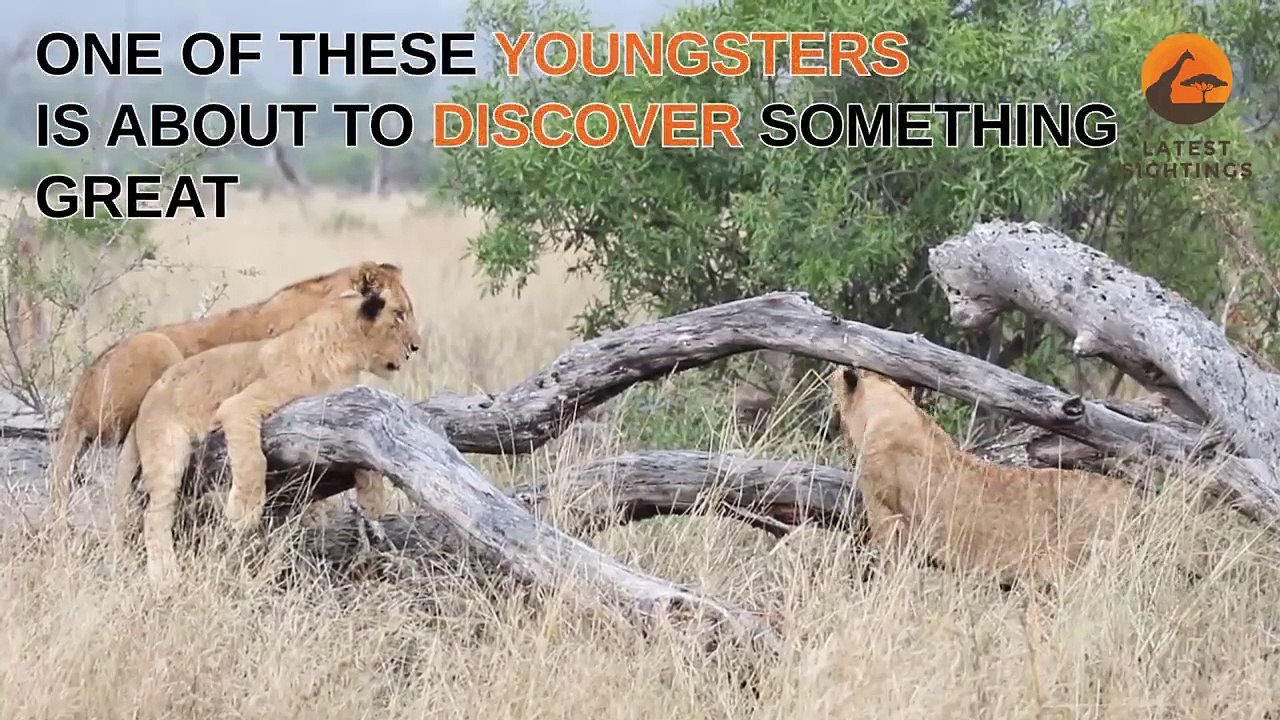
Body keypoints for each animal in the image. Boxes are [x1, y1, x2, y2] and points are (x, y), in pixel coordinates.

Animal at [113, 278, 421, 586]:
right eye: (398, 315)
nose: (414, 348)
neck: (346, 357)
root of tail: (145, 403)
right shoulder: (239, 406)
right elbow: (253, 460)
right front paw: (244, 512)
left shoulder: (348, 413)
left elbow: (368, 457)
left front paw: (372, 502)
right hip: (168, 451)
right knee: (155, 515)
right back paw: (165, 576)